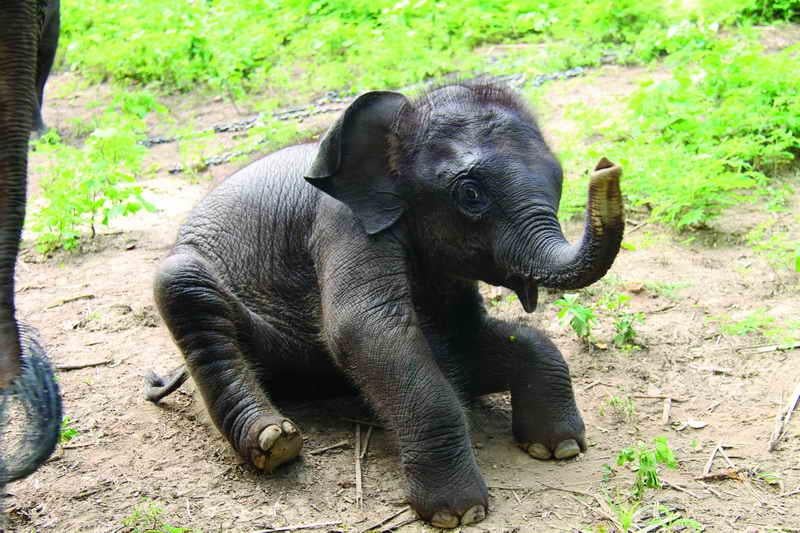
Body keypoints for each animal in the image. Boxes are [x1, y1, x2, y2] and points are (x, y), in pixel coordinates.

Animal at [152, 81, 624, 524]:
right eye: (470, 194)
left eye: (558, 178)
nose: (608, 166)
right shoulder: (341, 223)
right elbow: (364, 328)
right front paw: (457, 513)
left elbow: (466, 337)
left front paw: (560, 448)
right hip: (197, 284)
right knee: (185, 288)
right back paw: (275, 441)